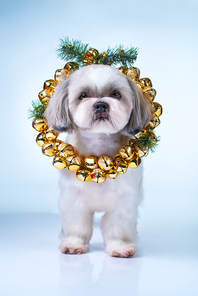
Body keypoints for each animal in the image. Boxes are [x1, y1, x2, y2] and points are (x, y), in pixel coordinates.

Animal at [45, 64, 152, 256]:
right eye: (83, 96)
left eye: (116, 94)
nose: (101, 104)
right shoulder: (73, 199)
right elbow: (77, 226)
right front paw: (74, 244)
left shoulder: (123, 202)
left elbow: (118, 227)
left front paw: (120, 247)